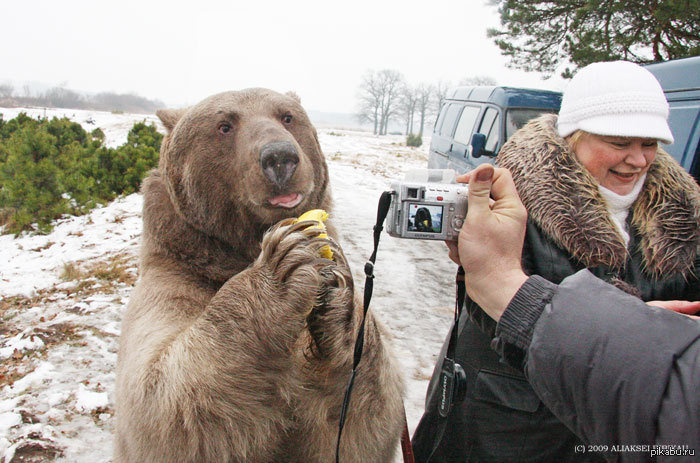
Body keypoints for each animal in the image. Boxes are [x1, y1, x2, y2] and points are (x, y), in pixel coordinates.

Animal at [115, 89, 404, 462]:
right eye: (225, 125)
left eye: (287, 116)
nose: (280, 157)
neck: (239, 249)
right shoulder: (176, 277)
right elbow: (160, 401)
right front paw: (283, 265)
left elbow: (364, 420)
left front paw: (341, 304)